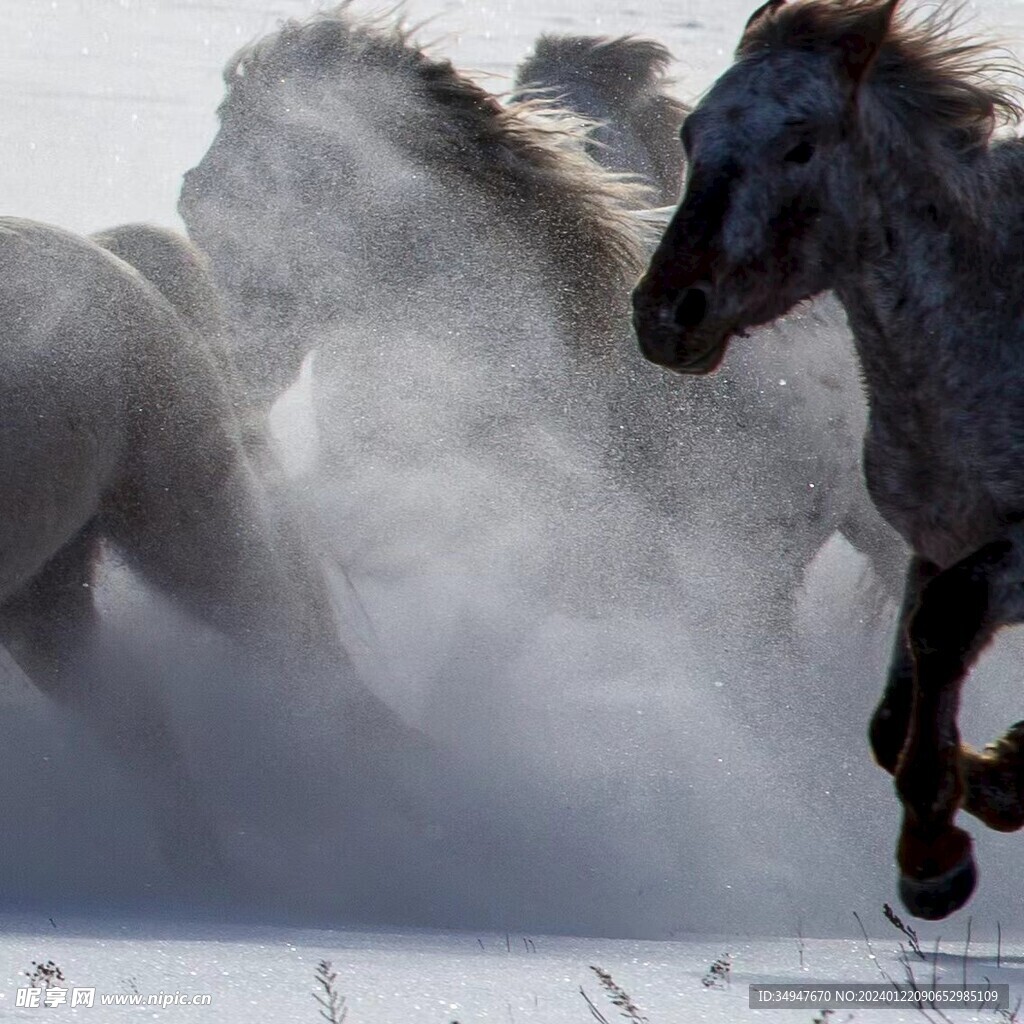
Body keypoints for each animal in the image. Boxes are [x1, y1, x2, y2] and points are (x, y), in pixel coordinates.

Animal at [630, 0, 1024, 921]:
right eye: (693, 134)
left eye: (800, 146)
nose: (665, 314)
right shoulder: (935, 540)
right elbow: (891, 712)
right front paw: (986, 785)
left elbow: (942, 626)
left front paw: (935, 858)